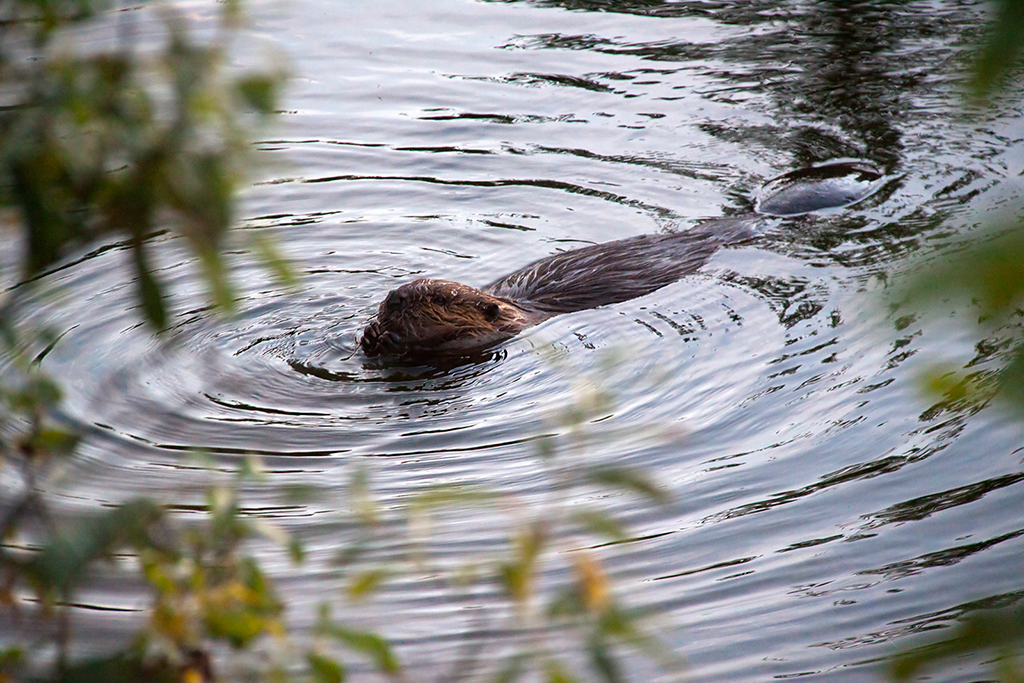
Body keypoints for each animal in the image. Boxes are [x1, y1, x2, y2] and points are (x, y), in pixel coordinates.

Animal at [362, 161, 888, 362]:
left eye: (440, 297)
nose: (395, 297)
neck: (516, 305)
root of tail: (754, 215)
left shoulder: (510, 326)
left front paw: (386, 336)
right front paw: (369, 331)